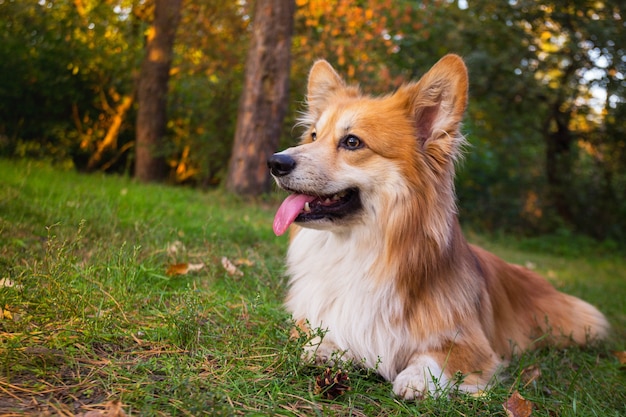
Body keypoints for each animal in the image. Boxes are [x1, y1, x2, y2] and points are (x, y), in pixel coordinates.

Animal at [266, 53, 608, 398]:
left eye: (352, 142)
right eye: (313, 136)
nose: (275, 162)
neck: (358, 250)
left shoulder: (474, 345)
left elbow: (436, 356)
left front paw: (417, 378)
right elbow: (326, 334)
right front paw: (324, 348)